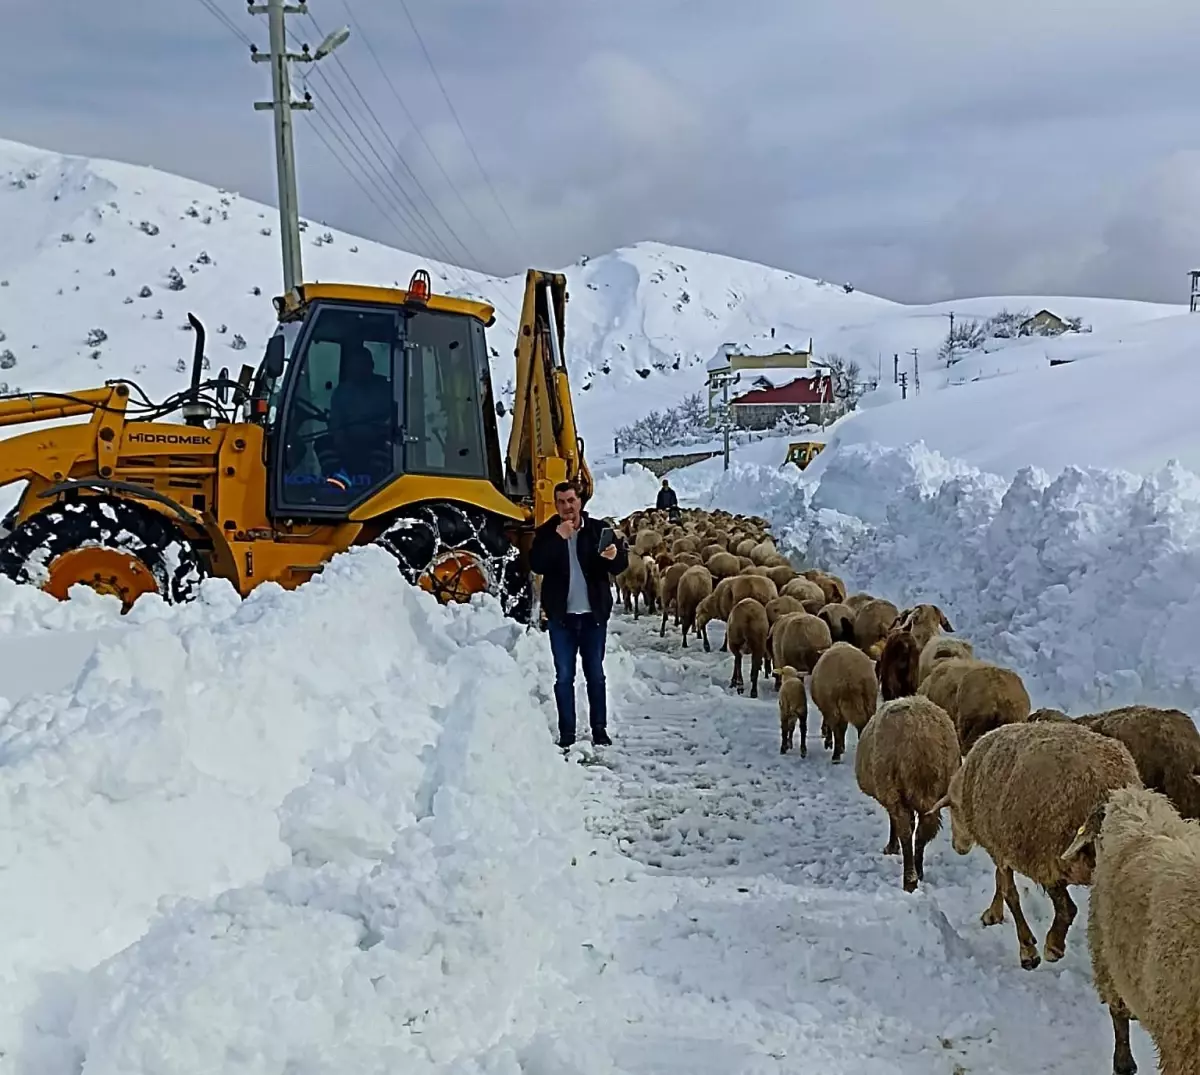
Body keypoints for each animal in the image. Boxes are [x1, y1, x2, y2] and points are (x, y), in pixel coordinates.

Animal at [859, 695, 960, 892]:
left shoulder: (892, 795)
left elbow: (897, 824)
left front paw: (891, 848)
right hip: (932, 792)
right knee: (922, 833)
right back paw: (918, 871)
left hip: (893, 789)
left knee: (905, 832)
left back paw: (909, 880)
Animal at [931, 719, 1137, 969]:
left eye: (952, 810)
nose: (958, 847)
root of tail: (1106, 783)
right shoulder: (1003, 848)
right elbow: (1000, 883)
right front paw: (993, 914)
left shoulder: (1006, 849)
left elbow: (1011, 894)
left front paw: (1028, 950)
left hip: (1050, 853)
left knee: (1068, 909)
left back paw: (1053, 947)